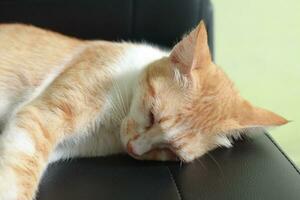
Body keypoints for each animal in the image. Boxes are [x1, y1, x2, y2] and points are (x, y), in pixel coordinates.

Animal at [0, 21, 288, 199]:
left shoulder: (66, 145)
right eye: (151, 115)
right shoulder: (41, 115)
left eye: (172, 151)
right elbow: (20, 172)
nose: (133, 149)